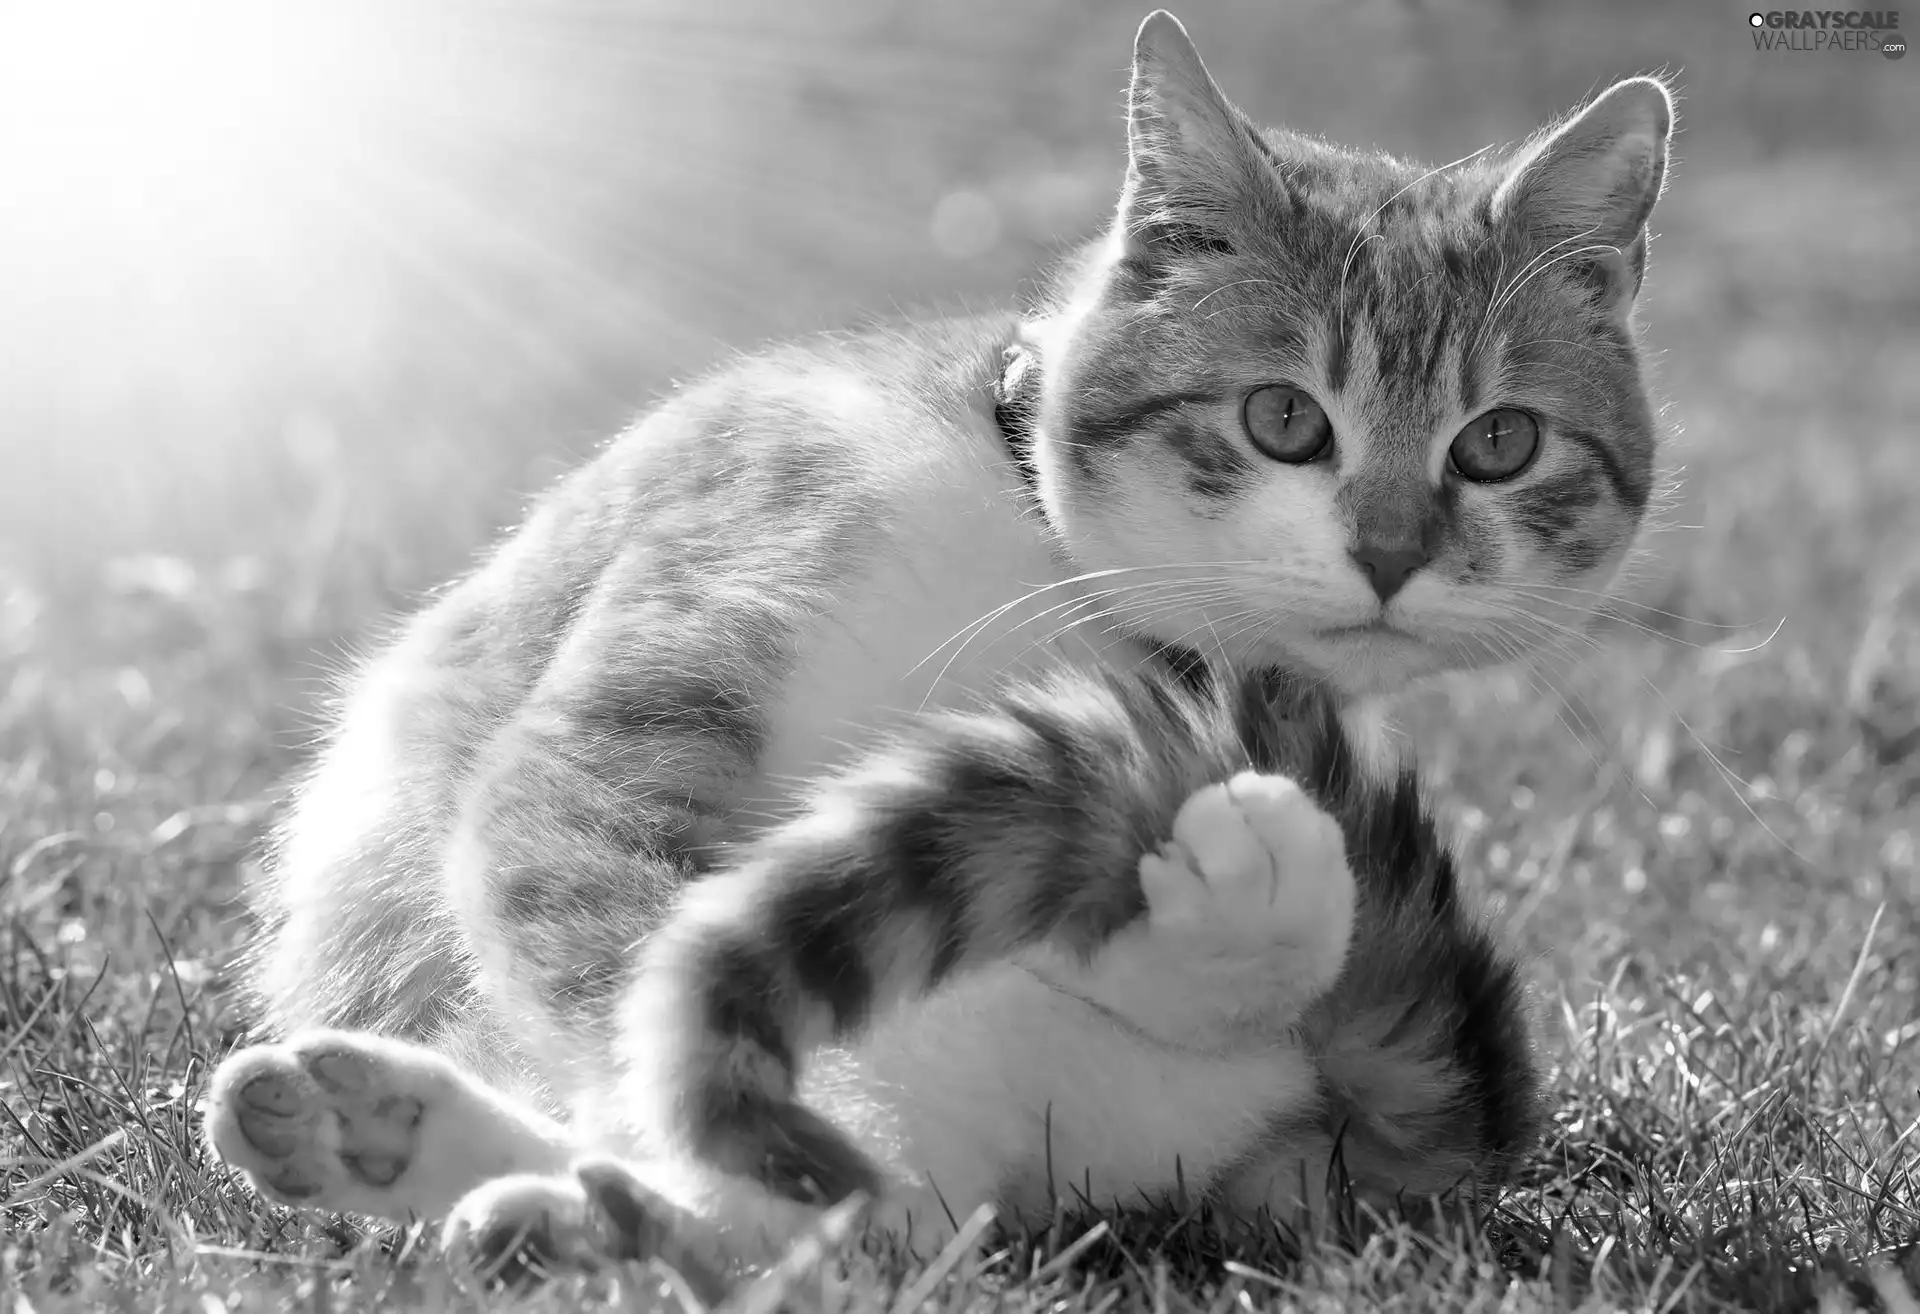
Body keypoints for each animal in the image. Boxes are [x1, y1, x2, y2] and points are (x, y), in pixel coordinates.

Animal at [198, 5, 1666, 1283]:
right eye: (1284, 419)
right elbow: (637, 986)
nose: (1392, 551)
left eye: (1499, 442)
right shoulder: (641, 700)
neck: (1053, 582)